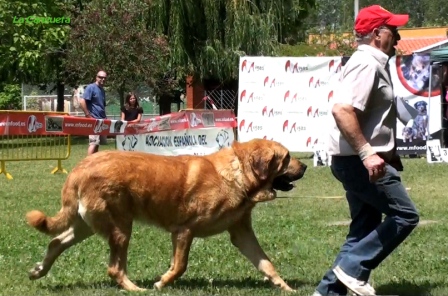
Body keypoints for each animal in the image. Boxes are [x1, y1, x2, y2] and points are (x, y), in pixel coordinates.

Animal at [26, 139, 306, 292]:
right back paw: (136, 289)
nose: (304, 165)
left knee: (56, 242)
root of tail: (79, 168)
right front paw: (161, 283)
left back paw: (38, 271)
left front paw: (286, 288)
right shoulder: (184, 231)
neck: (238, 175)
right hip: (121, 229)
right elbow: (180, 266)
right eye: (287, 158)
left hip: (86, 226)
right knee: (114, 269)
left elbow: (266, 263)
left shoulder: (241, 234)